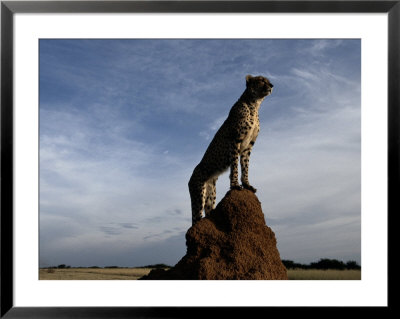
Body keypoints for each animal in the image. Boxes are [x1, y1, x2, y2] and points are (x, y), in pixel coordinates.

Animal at [189, 74, 274, 225]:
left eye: (268, 81)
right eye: (261, 80)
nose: (272, 85)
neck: (254, 105)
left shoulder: (248, 146)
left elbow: (245, 166)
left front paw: (247, 185)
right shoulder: (235, 141)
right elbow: (235, 165)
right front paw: (235, 185)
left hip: (211, 194)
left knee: (209, 211)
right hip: (199, 193)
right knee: (197, 217)